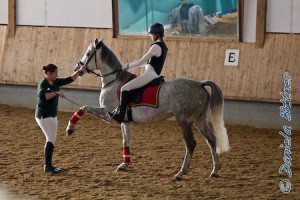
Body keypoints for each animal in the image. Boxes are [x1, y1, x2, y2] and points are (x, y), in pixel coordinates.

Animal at [66, 38, 230, 180]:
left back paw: (180, 173)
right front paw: (124, 164)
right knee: (211, 139)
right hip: (199, 120)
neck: (113, 81)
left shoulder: (108, 114)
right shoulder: (125, 121)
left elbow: (84, 107)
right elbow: (126, 140)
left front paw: (70, 128)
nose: (77, 68)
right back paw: (215, 170)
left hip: (184, 121)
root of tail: (199, 84)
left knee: (191, 144)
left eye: (88, 54)